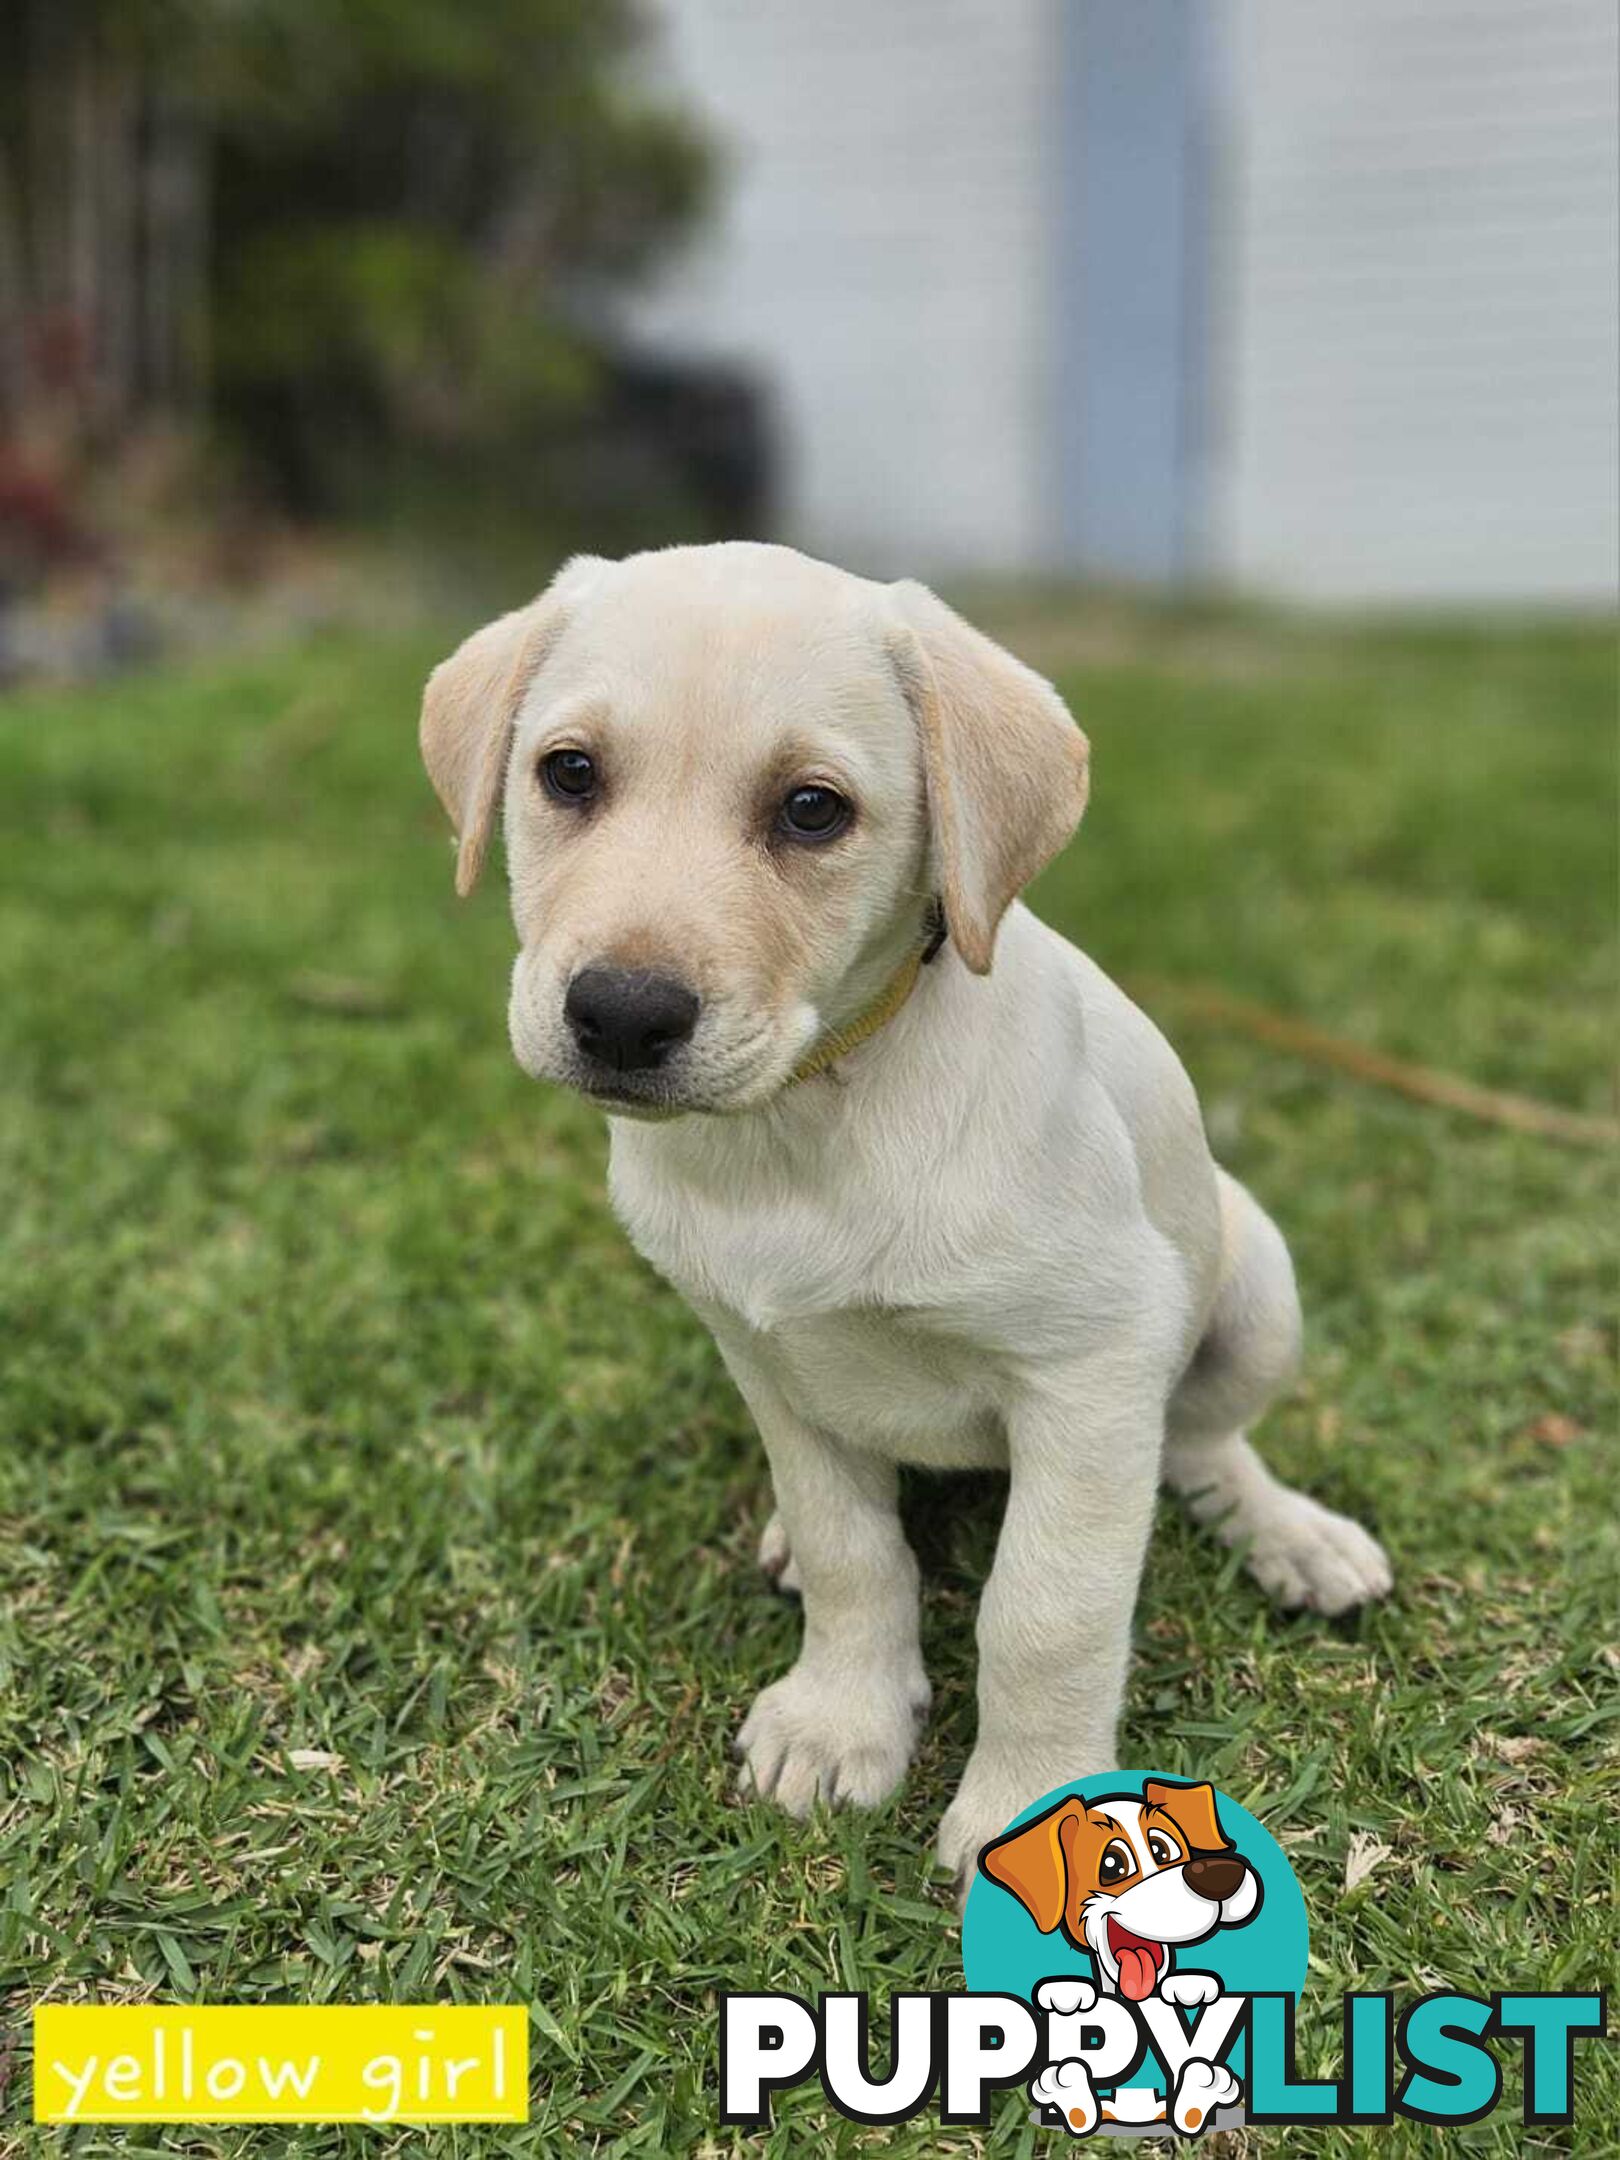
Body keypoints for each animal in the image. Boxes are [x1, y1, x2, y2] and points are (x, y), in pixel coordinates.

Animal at [421, 548, 1399, 1883]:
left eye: (812, 810)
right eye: (568, 773)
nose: (620, 1015)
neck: (812, 1117)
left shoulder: (1093, 1366)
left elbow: (1046, 1612)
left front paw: (1038, 1805)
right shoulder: (765, 1355)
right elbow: (852, 1550)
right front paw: (843, 1719)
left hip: (1251, 1289)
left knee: (1205, 1445)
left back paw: (1292, 1534)